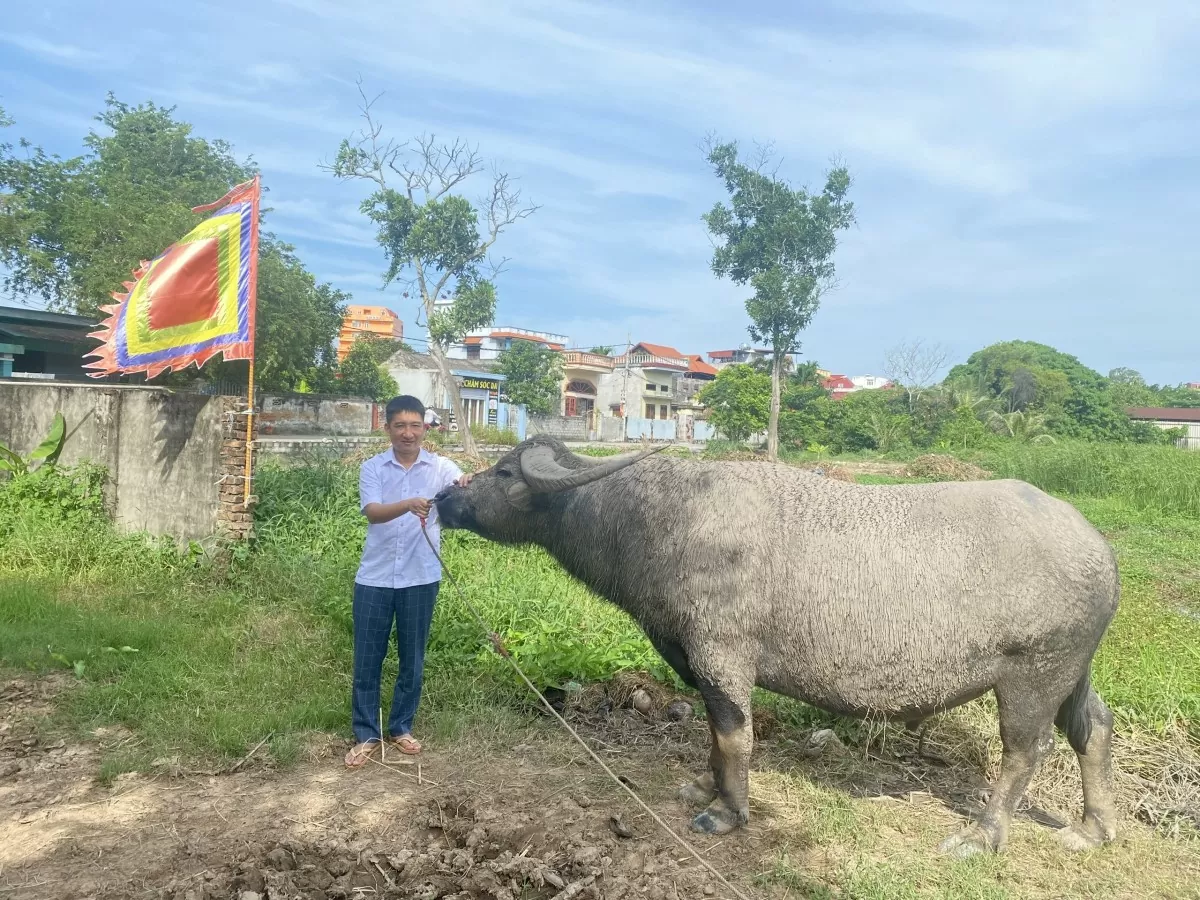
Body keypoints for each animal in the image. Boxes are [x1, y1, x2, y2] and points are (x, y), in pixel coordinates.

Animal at [434, 436, 1123, 859]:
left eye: (503, 472)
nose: (442, 498)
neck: (661, 521)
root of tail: (1098, 547)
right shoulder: (695, 660)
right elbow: (714, 742)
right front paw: (704, 789)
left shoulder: (721, 657)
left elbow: (734, 738)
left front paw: (728, 812)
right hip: (1075, 671)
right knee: (1093, 728)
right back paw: (1093, 829)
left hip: (1033, 674)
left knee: (1024, 753)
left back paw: (980, 837)